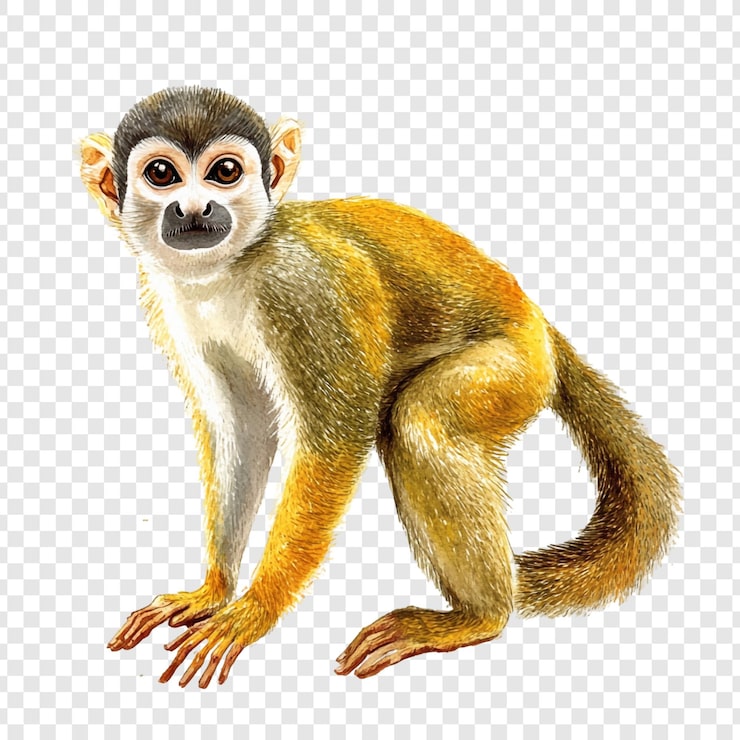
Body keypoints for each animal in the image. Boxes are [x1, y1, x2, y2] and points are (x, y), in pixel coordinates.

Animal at [79, 86, 681, 689]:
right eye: (162, 174)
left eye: (224, 172)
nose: (196, 208)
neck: (231, 268)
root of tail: (537, 321)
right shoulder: (170, 298)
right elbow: (243, 430)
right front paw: (213, 591)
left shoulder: (303, 289)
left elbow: (337, 436)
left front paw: (254, 609)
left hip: (513, 368)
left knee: (420, 423)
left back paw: (479, 617)